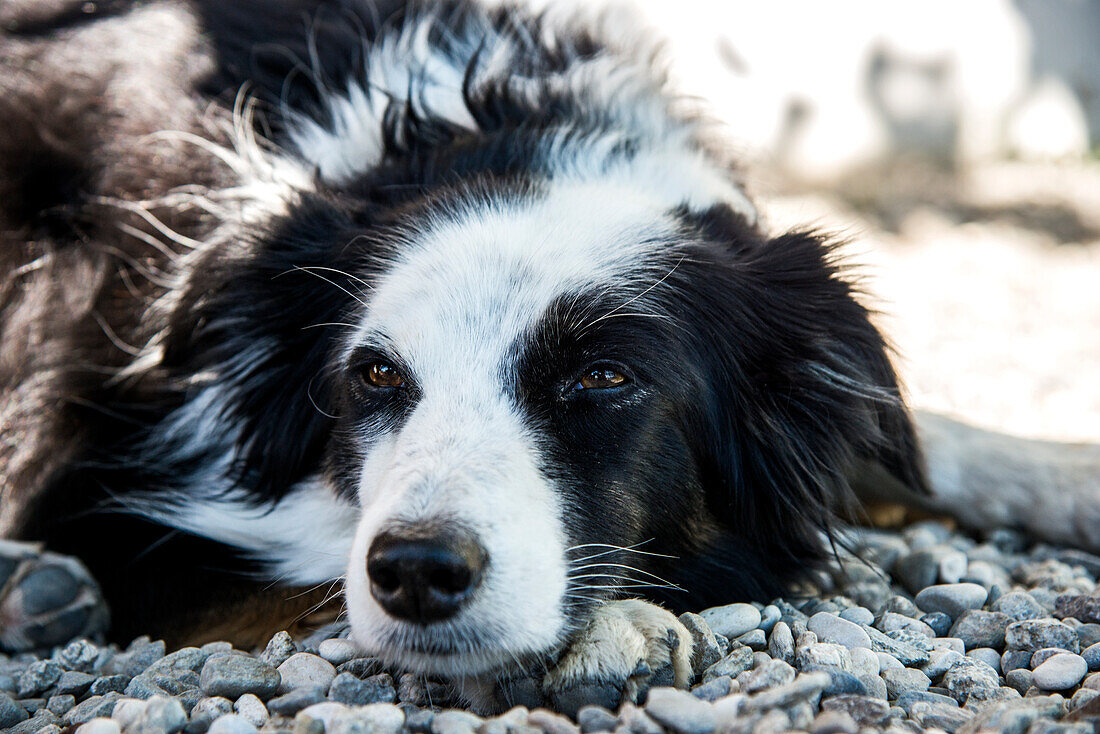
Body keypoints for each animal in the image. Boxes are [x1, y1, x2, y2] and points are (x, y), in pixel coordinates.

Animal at [2, 0, 1100, 713]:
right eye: (376, 375)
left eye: (603, 377)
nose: (416, 572)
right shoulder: (112, 480)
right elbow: (310, 580)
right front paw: (617, 629)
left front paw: (1064, 473)